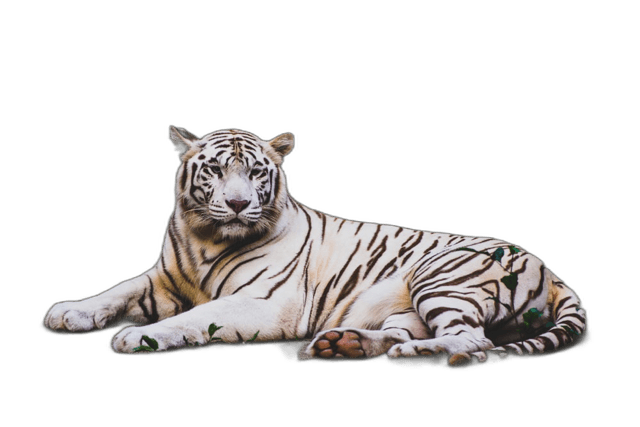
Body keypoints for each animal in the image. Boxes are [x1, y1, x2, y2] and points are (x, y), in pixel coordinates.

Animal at [41, 124, 590, 369]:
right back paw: (338, 344)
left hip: (441, 278)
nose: (238, 204)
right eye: (215, 169)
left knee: (470, 339)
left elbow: (195, 319)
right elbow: (116, 293)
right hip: (407, 304)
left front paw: (138, 336)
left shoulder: (264, 303)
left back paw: (415, 352)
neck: (205, 239)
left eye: (256, 172)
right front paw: (67, 312)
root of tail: (552, 272)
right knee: (408, 330)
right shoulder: (163, 280)